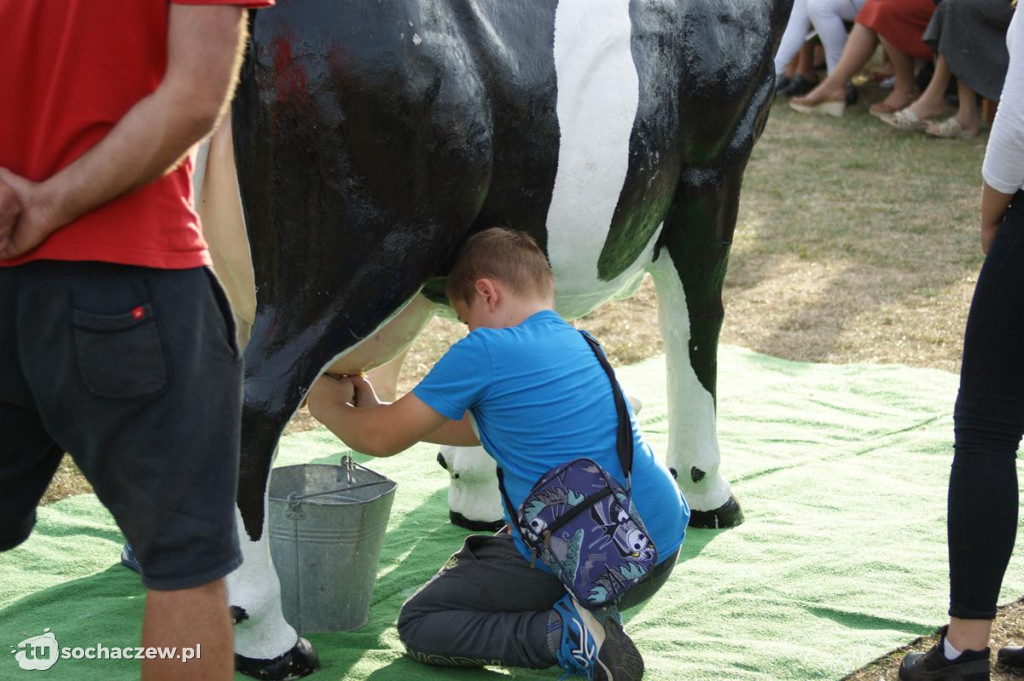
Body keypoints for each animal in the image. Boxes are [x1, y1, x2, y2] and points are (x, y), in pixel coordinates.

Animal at [199, 1, 790, 675]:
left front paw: (474, 492)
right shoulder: (717, 155)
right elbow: (695, 323)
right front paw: (707, 490)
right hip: (359, 244)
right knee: (256, 400)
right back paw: (268, 637)